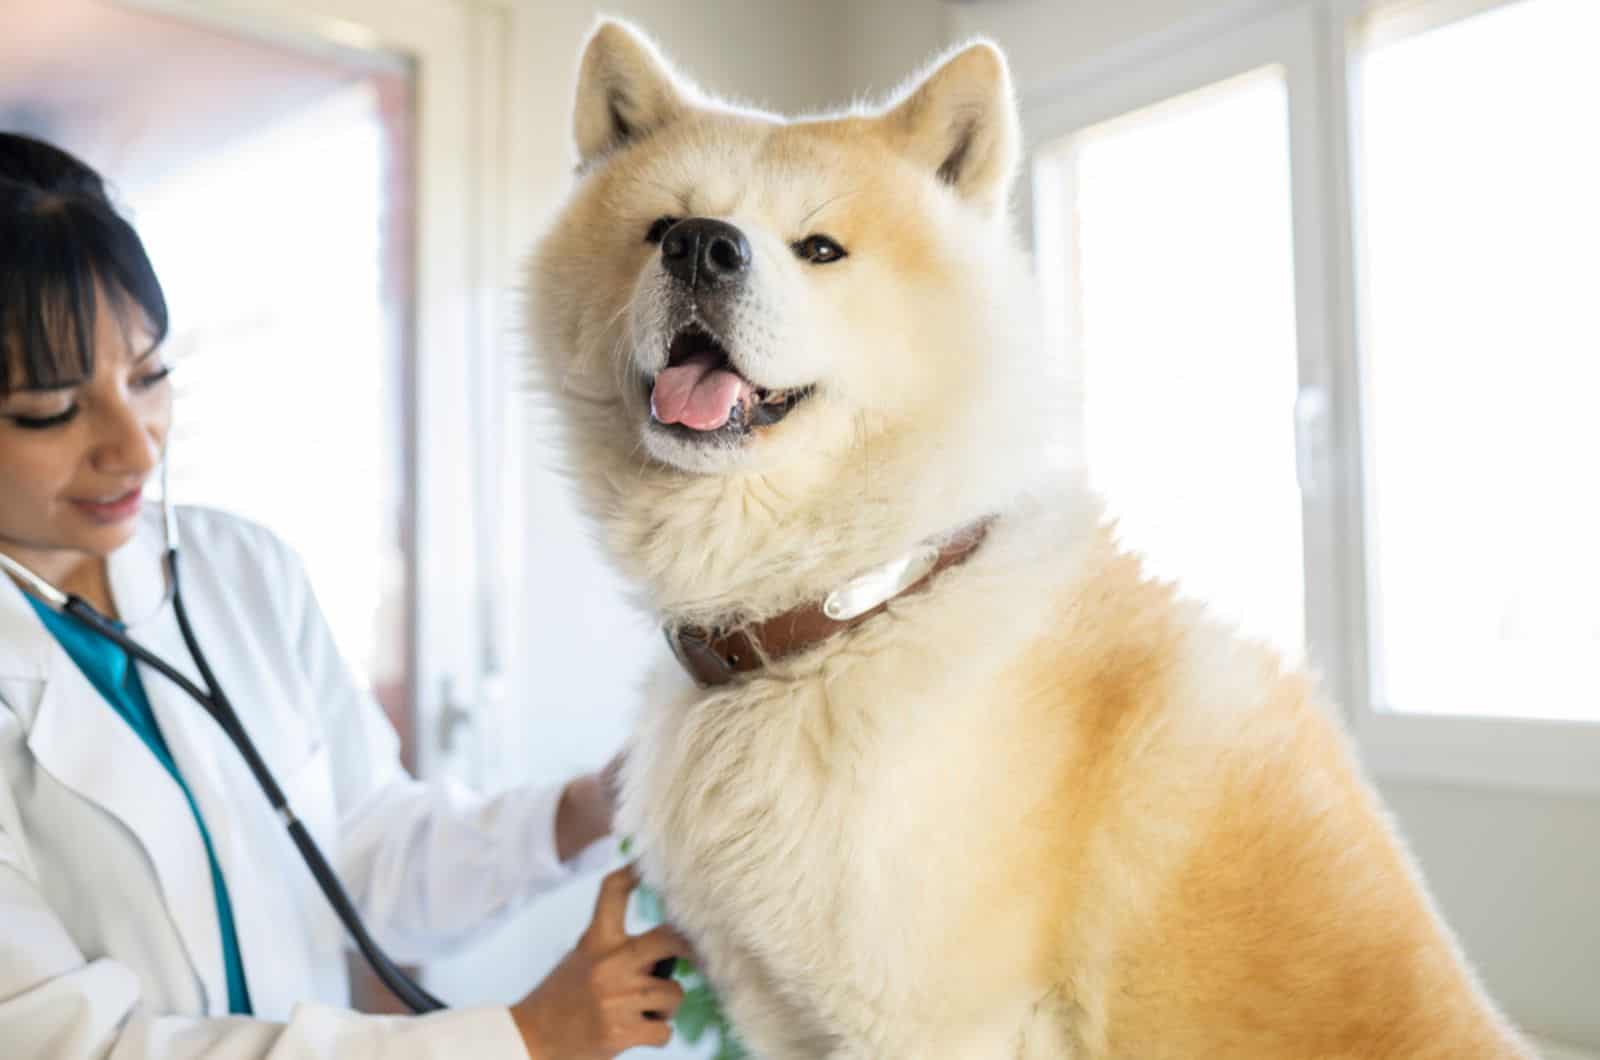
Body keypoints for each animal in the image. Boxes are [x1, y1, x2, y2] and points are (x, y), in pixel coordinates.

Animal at [528, 18, 1536, 1060]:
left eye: (820, 248)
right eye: (661, 228)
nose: (703, 247)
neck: (854, 605)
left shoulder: (932, 1025)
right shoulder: (779, 1017)